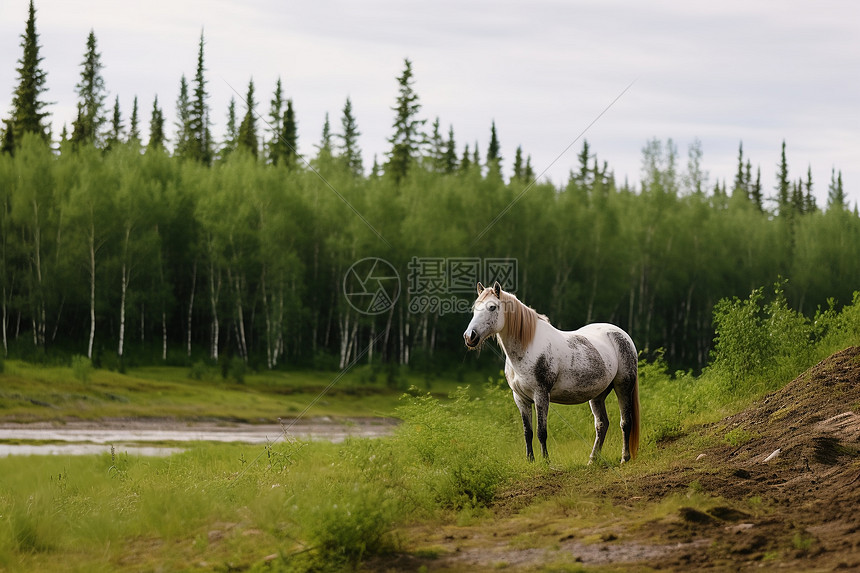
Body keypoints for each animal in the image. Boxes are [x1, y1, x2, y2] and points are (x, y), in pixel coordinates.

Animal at [464, 282, 640, 464]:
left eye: (492, 307)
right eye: (475, 308)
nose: (470, 337)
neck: (527, 348)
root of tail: (622, 334)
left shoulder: (541, 395)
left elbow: (541, 432)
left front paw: (546, 462)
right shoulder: (520, 399)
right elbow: (528, 432)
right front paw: (530, 461)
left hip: (623, 387)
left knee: (625, 422)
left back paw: (624, 458)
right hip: (598, 395)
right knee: (602, 424)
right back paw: (592, 460)